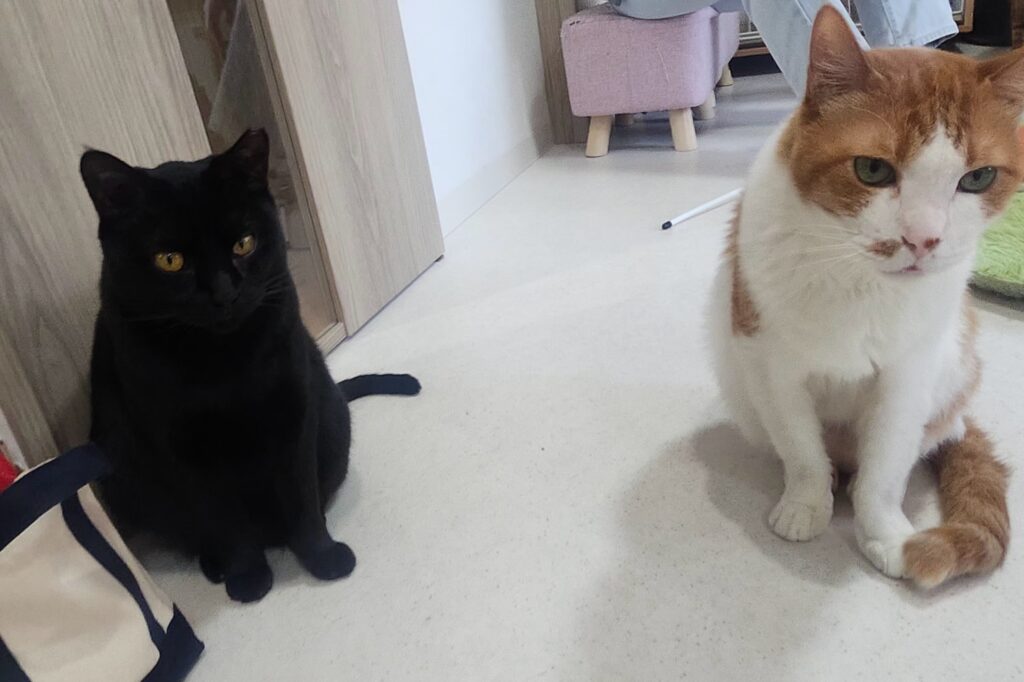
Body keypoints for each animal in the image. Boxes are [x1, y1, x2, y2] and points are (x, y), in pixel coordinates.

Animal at [80, 129, 420, 603]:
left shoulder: (294, 412)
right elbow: (222, 518)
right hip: (122, 474)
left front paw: (321, 555)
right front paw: (248, 577)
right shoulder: (178, 446)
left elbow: (301, 494)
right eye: (169, 260)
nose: (224, 293)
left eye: (244, 243)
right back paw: (216, 565)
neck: (225, 365)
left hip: (332, 424)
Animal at [708, 6, 1020, 588]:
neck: (859, 281)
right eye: (872, 170)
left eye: (978, 178)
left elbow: (885, 468)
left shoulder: (908, 377)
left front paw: (884, 533)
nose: (923, 239)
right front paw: (806, 505)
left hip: (953, 375)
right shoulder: (771, 366)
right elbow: (802, 451)